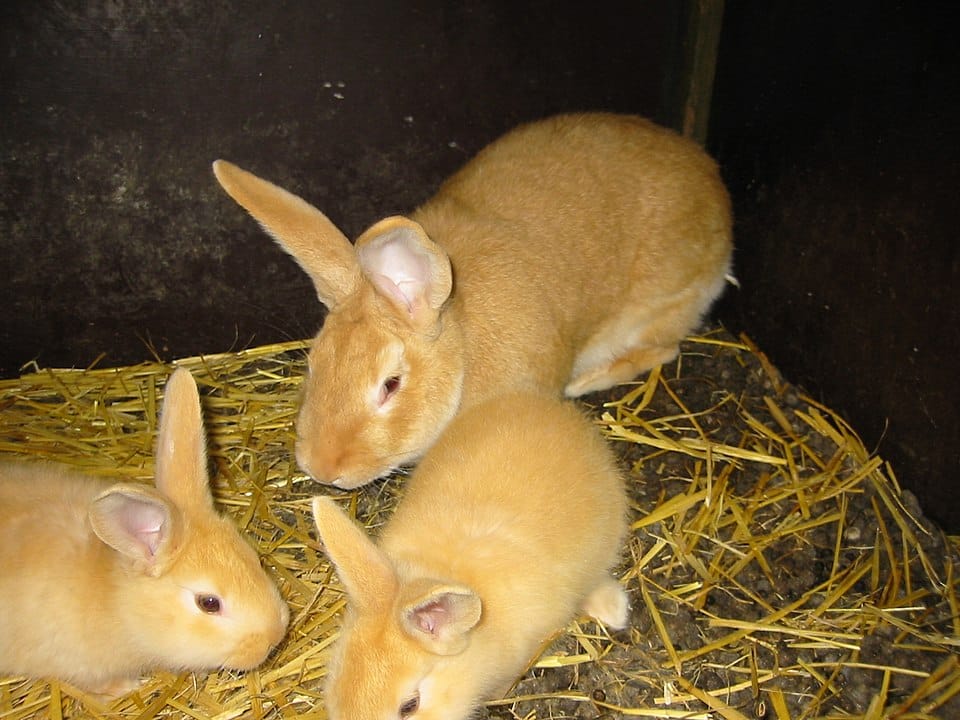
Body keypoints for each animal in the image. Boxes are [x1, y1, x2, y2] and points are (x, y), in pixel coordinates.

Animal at [213, 112, 733, 488]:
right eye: (314, 363)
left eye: (391, 385)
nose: (321, 468)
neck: (462, 345)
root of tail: (712, 180)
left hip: (658, 304)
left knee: (663, 347)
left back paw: (587, 380)